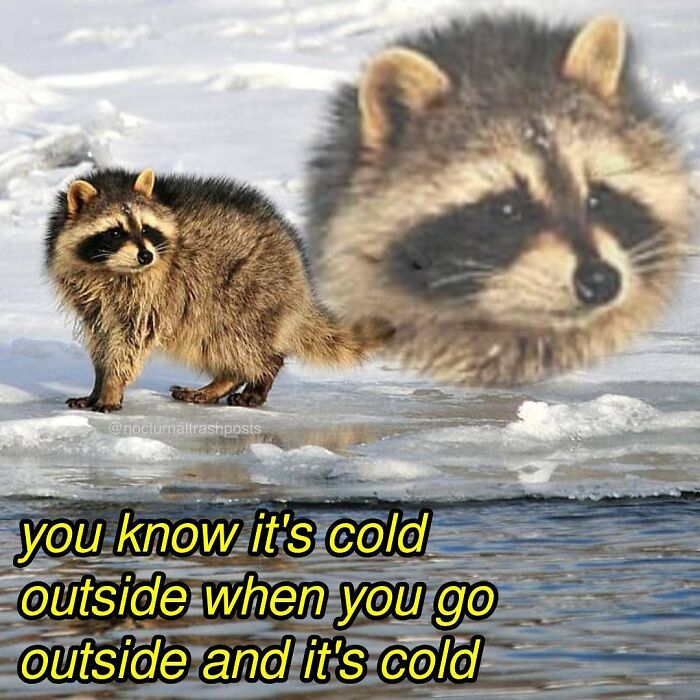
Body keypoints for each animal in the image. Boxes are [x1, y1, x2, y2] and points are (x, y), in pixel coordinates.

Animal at [46, 169, 393, 412]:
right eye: (115, 232)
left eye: (146, 229)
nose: (146, 256)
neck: (110, 269)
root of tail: (298, 268)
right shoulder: (92, 298)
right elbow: (102, 339)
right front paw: (97, 384)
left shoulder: (151, 291)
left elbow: (130, 341)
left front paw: (111, 387)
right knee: (211, 341)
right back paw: (225, 380)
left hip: (246, 290)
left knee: (237, 341)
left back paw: (258, 374)